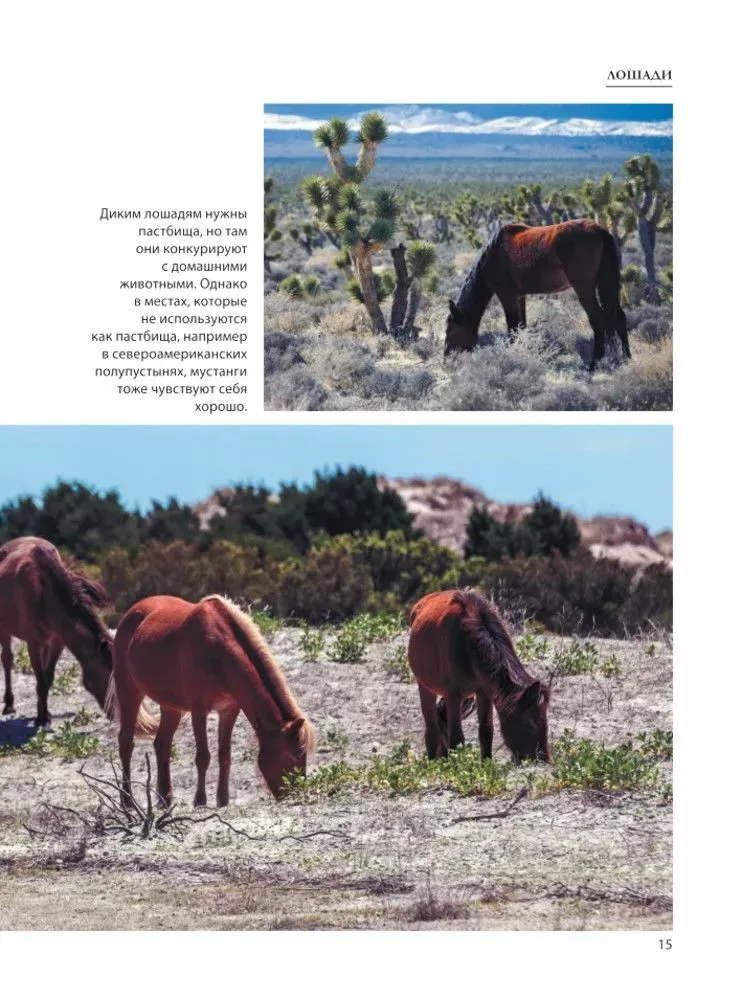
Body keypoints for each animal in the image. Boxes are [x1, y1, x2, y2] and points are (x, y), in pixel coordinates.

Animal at [0, 536, 116, 727]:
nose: (115, 714)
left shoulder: (58, 641)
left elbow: (47, 678)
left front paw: (44, 713)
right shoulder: (33, 642)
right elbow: (41, 681)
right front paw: (42, 719)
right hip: (4, 629)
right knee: (7, 660)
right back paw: (9, 704)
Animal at [109, 593, 316, 808]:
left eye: (304, 756)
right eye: (290, 756)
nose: (296, 794)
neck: (218, 653)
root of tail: (131, 613)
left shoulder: (229, 709)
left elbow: (224, 754)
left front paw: (223, 799)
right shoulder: (199, 710)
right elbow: (203, 756)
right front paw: (200, 799)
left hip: (171, 706)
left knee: (162, 745)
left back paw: (165, 798)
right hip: (129, 693)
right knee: (126, 743)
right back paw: (127, 800)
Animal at [408, 589, 550, 763]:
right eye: (534, 723)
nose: (544, 759)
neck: (468, 643)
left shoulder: (484, 691)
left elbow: (486, 731)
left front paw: (486, 764)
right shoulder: (452, 693)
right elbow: (457, 739)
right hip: (424, 686)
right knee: (432, 729)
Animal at [444, 219, 630, 370]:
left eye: (449, 331)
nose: (446, 359)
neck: (493, 253)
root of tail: (600, 231)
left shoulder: (507, 296)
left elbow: (512, 329)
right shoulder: (519, 297)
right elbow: (521, 327)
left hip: (584, 288)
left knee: (597, 319)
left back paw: (593, 365)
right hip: (607, 284)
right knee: (619, 317)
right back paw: (627, 358)